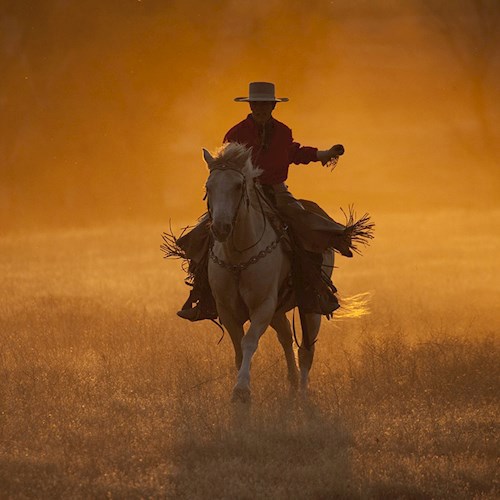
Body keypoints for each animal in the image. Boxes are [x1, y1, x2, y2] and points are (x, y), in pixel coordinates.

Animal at [201, 142, 334, 402]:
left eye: (238, 185)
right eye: (208, 187)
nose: (221, 228)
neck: (238, 258)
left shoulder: (263, 305)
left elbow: (249, 341)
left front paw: (242, 389)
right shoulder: (227, 310)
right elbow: (238, 348)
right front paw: (240, 386)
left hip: (310, 308)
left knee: (306, 351)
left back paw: (302, 392)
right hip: (278, 311)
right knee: (286, 338)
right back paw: (292, 383)